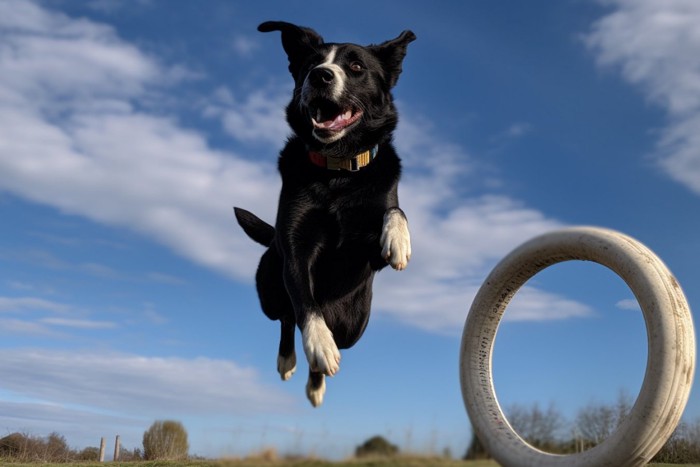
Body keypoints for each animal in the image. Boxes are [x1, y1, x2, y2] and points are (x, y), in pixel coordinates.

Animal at [235, 22, 416, 408]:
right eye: (310, 65)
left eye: (357, 67)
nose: (320, 75)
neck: (338, 172)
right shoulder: (294, 247)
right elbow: (305, 302)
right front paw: (318, 342)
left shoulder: (369, 253)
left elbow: (394, 209)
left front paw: (398, 239)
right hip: (269, 289)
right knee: (286, 316)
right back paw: (289, 359)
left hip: (353, 326)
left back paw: (316, 383)